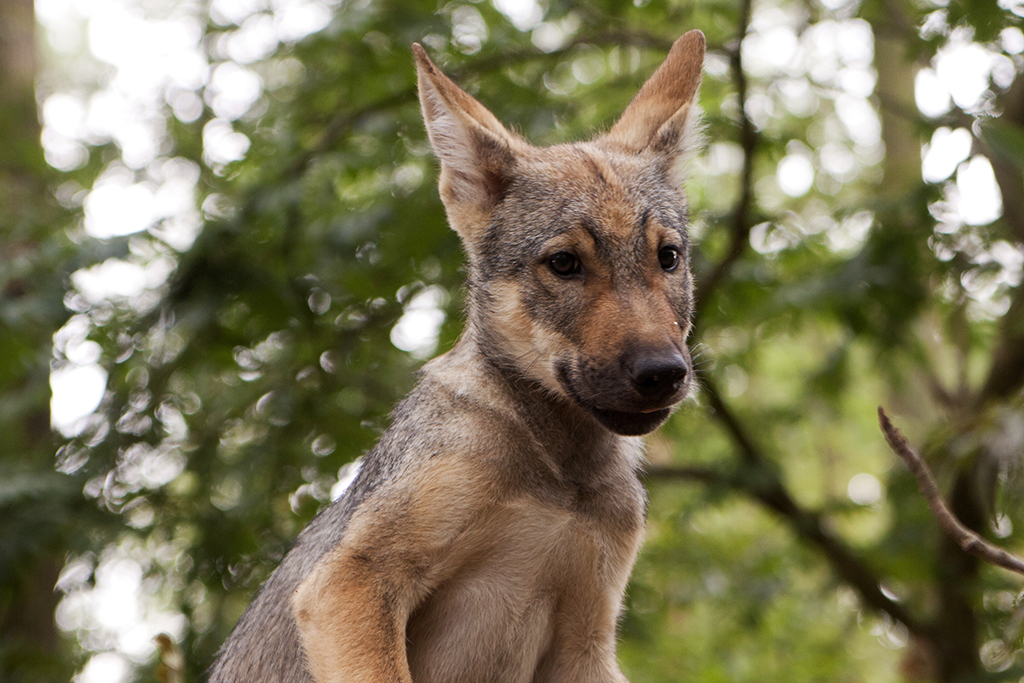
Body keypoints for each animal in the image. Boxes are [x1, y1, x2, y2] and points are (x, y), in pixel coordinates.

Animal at [207, 28, 704, 683]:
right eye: (564, 263)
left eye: (667, 258)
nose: (664, 374)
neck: (561, 476)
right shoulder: (348, 583)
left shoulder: (586, 642)